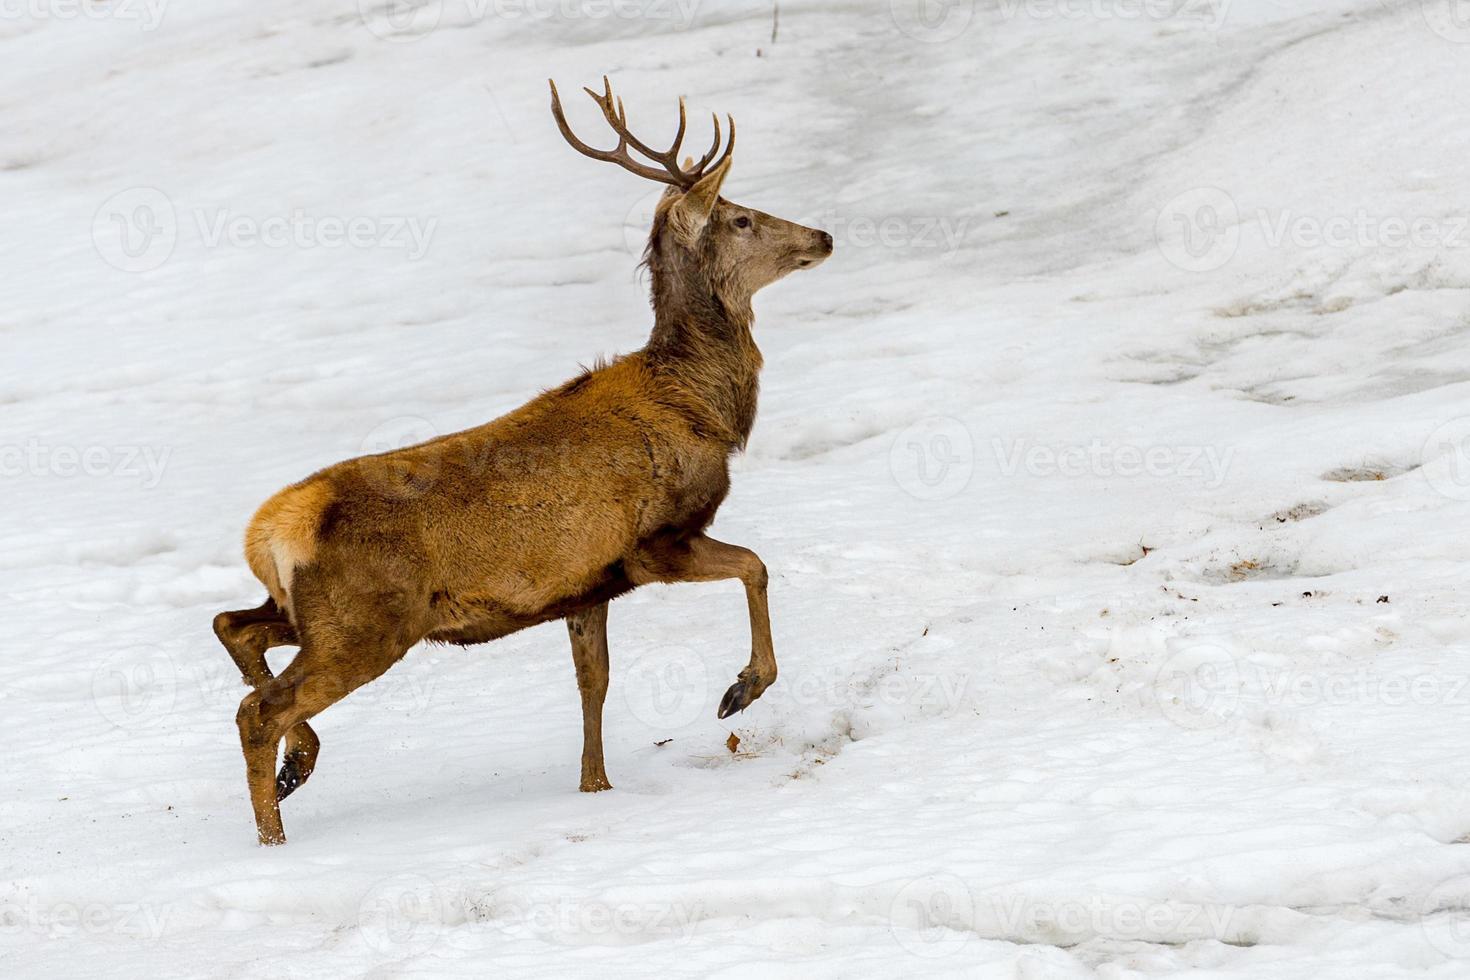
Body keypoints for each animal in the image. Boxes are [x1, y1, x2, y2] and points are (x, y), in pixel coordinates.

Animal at [211, 76, 834, 846]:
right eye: (741, 217)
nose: (823, 236)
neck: (700, 408)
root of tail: (269, 531)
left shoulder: (589, 583)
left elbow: (594, 682)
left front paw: (595, 786)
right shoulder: (654, 542)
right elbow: (755, 565)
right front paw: (739, 690)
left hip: (312, 612)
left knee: (234, 628)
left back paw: (299, 763)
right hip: (367, 621)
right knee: (258, 709)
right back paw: (275, 832)